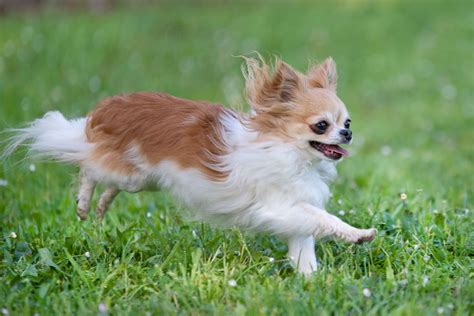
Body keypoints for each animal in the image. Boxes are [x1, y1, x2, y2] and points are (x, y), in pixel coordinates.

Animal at [2, 56, 374, 274]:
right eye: (321, 126)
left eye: (347, 121)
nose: (347, 133)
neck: (291, 153)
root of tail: (108, 108)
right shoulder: (278, 206)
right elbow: (325, 220)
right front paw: (359, 234)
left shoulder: (294, 211)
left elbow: (305, 241)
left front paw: (309, 279)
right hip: (123, 169)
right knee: (88, 168)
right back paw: (83, 203)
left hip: (140, 179)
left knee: (108, 183)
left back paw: (101, 205)